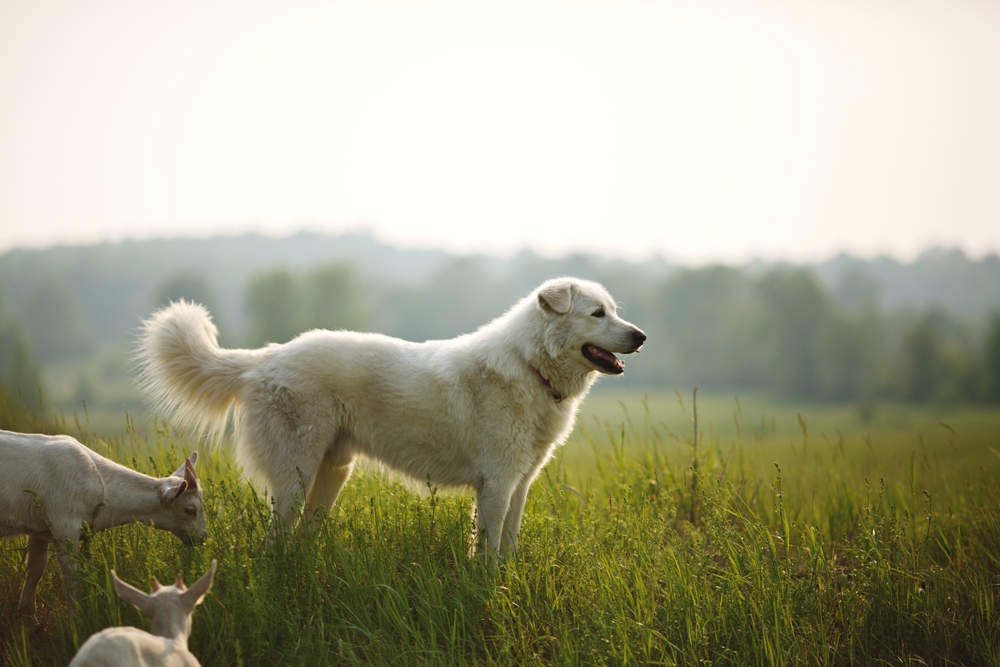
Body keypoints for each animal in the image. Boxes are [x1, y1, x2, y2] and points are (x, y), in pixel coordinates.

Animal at [0, 430, 206, 620]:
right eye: (190, 510)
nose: (203, 537)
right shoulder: (64, 525)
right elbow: (71, 575)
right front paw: (74, 619)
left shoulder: (40, 529)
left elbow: (35, 569)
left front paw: (27, 615)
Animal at [137, 276, 644, 552]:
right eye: (597, 313)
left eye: (613, 311)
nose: (640, 336)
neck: (530, 365)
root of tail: (266, 357)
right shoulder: (497, 484)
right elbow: (488, 549)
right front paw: (487, 591)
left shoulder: (519, 485)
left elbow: (510, 545)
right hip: (294, 477)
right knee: (275, 539)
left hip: (330, 475)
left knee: (299, 536)